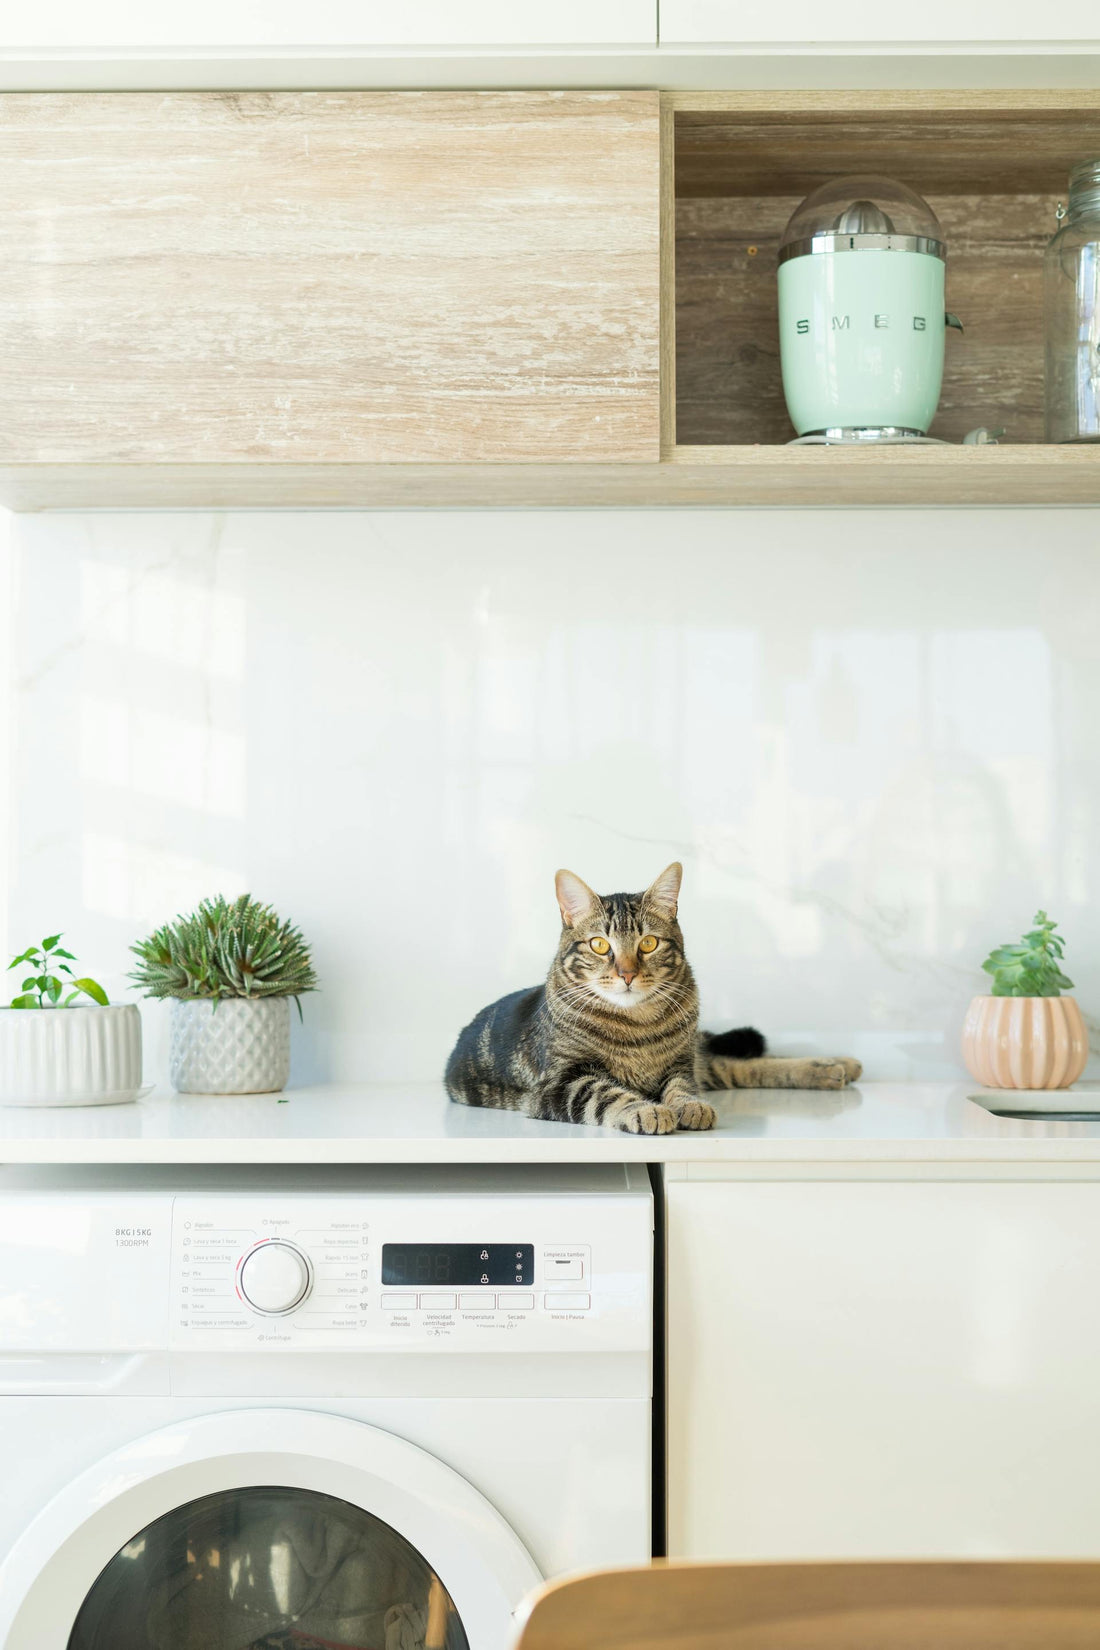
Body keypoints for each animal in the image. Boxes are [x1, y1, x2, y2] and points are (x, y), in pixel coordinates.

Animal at [445, 864, 857, 1135]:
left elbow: (682, 1087)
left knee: (739, 1063)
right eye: (599, 945)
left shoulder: (680, 1063)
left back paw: (836, 1065)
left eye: (648, 943)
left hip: (697, 1054)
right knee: (737, 1066)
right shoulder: (559, 1084)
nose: (627, 973)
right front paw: (647, 1111)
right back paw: (836, 1068)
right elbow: (606, 1093)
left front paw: (688, 1106)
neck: (636, 1026)